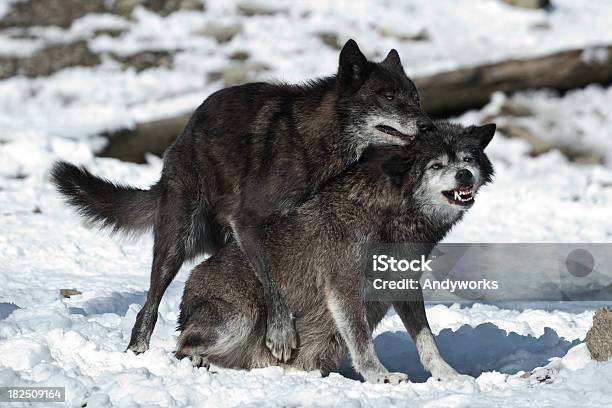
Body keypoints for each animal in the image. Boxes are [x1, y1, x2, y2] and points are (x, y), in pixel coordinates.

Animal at [52, 39, 436, 356]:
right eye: (388, 97)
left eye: (417, 98)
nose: (428, 125)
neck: (313, 141)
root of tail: (178, 144)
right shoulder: (249, 222)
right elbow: (270, 278)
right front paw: (280, 334)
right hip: (175, 244)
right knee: (149, 306)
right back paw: (138, 351)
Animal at [175, 121, 494, 382]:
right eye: (436, 166)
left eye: (467, 159)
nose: (464, 175)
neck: (391, 215)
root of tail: (190, 285)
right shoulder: (343, 284)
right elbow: (361, 340)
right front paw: (380, 377)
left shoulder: (403, 284)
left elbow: (427, 341)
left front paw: (448, 375)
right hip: (243, 317)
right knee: (180, 346)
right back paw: (200, 361)